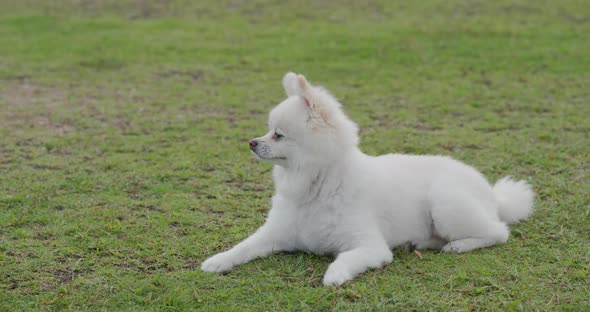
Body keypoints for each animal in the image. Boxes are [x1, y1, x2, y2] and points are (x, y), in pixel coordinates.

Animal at [202, 72, 536, 286]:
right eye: (268, 130)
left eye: (278, 135)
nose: (251, 142)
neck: (316, 186)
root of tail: (492, 193)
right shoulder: (275, 234)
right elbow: (243, 247)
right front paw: (218, 260)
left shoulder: (370, 246)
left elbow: (345, 259)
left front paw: (334, 275)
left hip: (445, 202)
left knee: (498, 231)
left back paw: (459, 245)